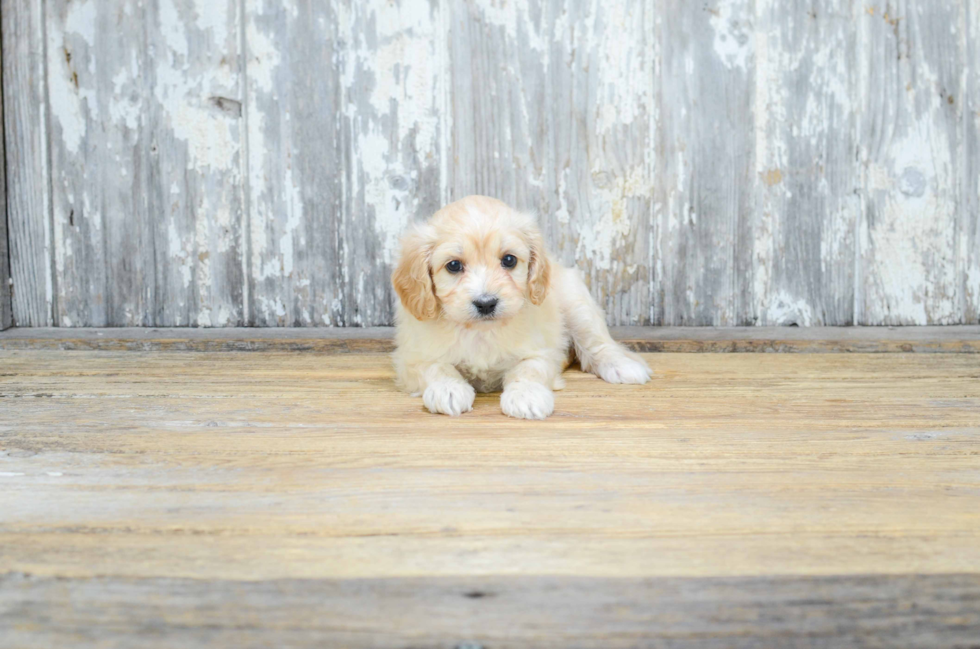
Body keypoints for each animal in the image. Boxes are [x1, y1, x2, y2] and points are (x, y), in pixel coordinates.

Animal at [390, 194, 652, 420]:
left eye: (509, 260)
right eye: (453, 265)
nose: (486, 303)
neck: (481, 332)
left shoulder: (542, 350)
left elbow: (529, 369)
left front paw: (526, 395)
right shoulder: (413, 356)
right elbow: (435, 368)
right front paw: (448, 389)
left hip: (577, 304)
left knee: (598, 344)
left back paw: (623, 366)